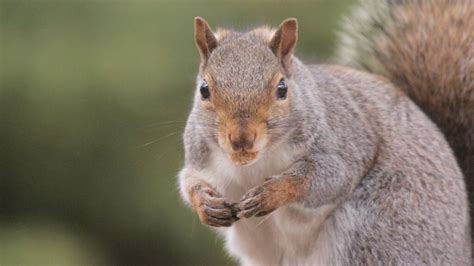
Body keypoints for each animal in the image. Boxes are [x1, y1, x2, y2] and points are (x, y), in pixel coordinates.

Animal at [180, 0, 472, 264]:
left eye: (282, 88)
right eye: (204, 89)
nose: (242, 139)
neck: (254, 164)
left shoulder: (342, 145)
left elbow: (328, 177)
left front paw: (272, 193)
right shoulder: (199, 158)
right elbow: (188, 181)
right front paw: (205, 204)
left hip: (377, 233)